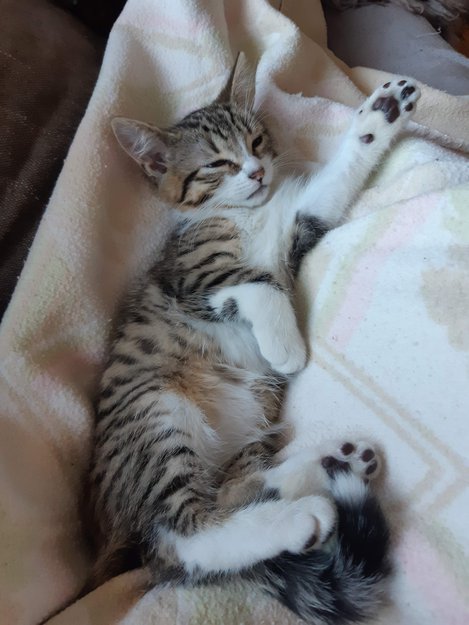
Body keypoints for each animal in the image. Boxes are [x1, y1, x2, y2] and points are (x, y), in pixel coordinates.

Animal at [89, 55, 420, 624]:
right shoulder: (193, 274)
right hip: (155, 416)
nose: (258, 172)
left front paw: (382, 112)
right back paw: (300, 516)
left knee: (230, 493)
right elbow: (258, 282)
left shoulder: (301, 220)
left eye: (257, 141)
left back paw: (331, 464)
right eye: (217, 164)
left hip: (245, 429)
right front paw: (287, 346)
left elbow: (330, 188)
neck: (248, 214)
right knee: (186, 536)